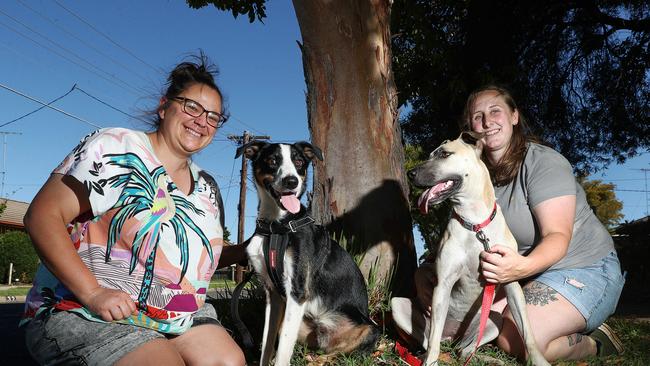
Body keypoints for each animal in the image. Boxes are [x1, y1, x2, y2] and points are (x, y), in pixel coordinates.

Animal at [234, 141, 378, 366]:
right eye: (272, 160)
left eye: (299, 162)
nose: (291, 181)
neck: (276, 228)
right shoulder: (273, 295)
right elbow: (267, 343)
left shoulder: (297, 291)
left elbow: (282, 351)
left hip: (370, 329)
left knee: (340, 354)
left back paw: (319, 360)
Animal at [390, 132, 548, 366]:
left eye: (444, 154)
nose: (410, 174)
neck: (475, 224)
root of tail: (451, 339)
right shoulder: (443, 284)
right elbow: (433, 337)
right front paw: (430, 362)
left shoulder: (510, 280)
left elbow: (528, 333)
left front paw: (539, 360)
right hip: (398, 305)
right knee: (429, 340)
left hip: (494, 320)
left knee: (465, 350)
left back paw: (488, 358)